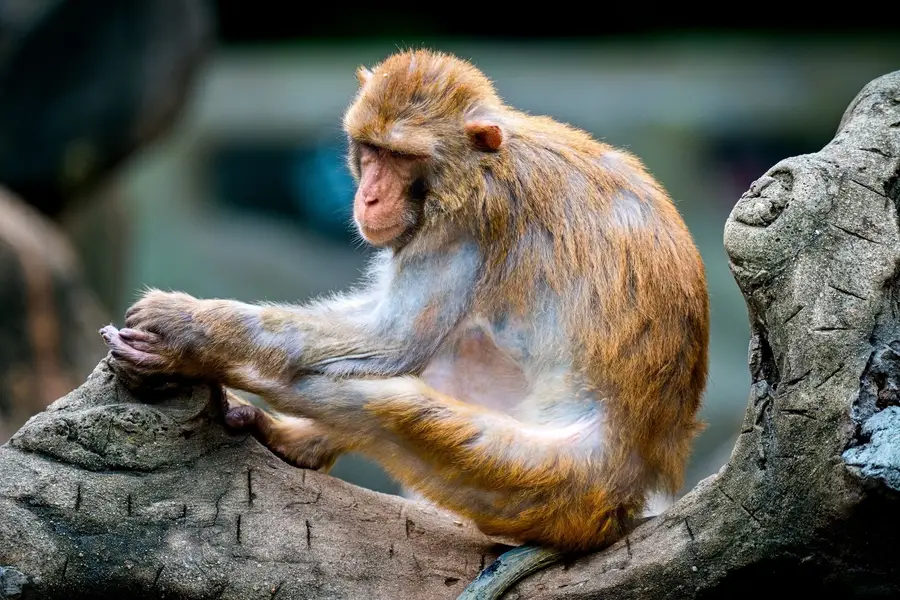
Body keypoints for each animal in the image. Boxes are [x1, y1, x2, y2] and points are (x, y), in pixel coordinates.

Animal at [100, 49, 712, 596]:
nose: (369, 197)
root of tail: (628, 498)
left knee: (388, 403)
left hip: (547, 486)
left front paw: (188, 330)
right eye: (370, 151)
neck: (481, 162)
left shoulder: (466, 222)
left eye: (400, 157)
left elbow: (391, 340)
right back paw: (298, 442)